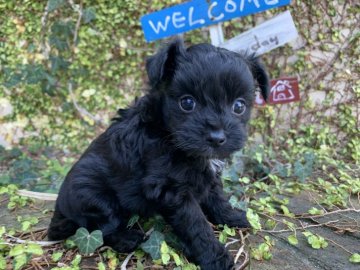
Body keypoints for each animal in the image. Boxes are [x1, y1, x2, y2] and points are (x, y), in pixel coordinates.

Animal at [47, 39, 268, 268]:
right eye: (187, 103)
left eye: (239, 106)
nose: (216, 137)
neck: (167, 133)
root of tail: (60, 210)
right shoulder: (173, 192)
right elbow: (196, 225)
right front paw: (214, 257)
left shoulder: (208, 177)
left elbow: (217, 198)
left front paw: (232, 216)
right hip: (95, 198)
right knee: (101, 228)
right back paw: (127, 239)